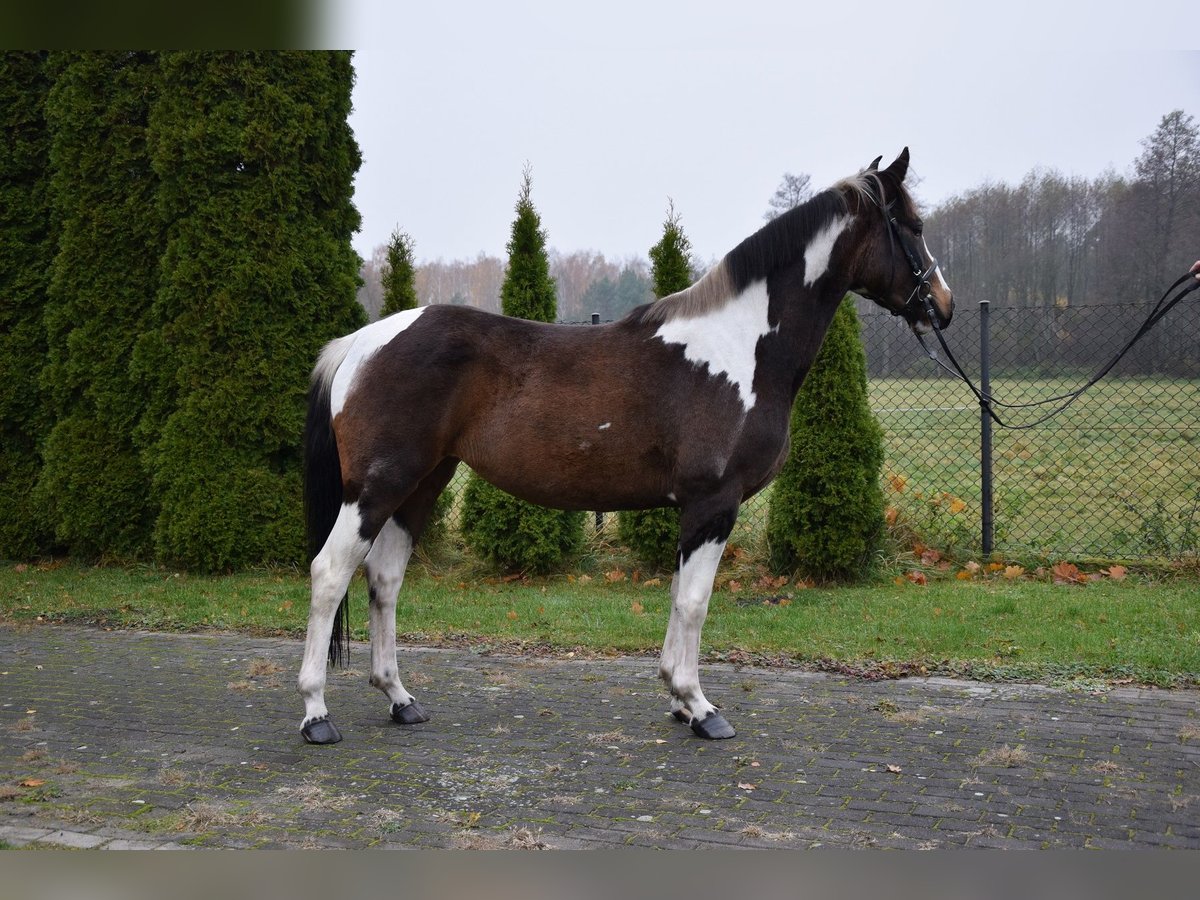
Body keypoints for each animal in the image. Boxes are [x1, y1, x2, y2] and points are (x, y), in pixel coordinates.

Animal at [297, 148, 953, 744]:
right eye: (915, 227)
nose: (942, 307)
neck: (740, 349)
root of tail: (361, 342)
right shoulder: (714, 504)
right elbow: (695, 602)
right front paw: (701, 708)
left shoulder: (693, 511)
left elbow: (678, 596)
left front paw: (680, 702)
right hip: (375, 489)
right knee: (330, 574)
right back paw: (316, 714)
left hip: (419, 486)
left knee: (383, 581)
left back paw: (400, 700)